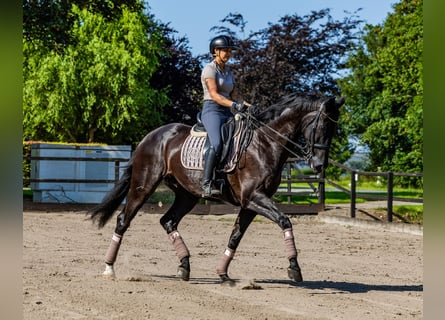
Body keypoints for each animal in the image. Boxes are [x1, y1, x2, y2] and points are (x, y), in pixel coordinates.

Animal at [87, 92, 344, 284]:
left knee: (168, 221)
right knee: (123, 219)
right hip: (144, 186)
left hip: (187, 195)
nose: (319, 165)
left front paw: (223, 274)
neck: (264, 142)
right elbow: (285, 221)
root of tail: (150, 137)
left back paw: (184, 266)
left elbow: (235, 236)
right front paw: (294, 268)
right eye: (321, 125)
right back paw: (109, 268)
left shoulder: (250, 204)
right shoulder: (254, 198)